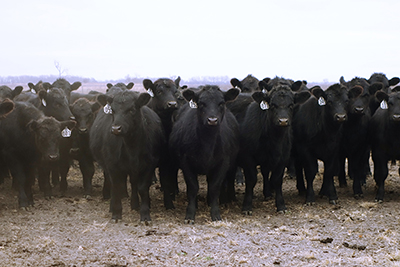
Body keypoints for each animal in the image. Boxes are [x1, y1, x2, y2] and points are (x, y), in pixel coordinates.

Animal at [90, 90, 164, 224]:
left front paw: (145, 214)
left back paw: (135, 204)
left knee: (134, 183)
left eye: (132, 109)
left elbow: (142, 188)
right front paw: (116, 213)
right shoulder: (112, 165)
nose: (116, 129)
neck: (131, 147)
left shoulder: (149, 165)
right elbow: (116, 187)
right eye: (112, 110)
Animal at [170, 86, 241, 224]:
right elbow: (193, 187)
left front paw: (215, 214)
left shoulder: (223, 163)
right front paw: (190, 215)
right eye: (201, 103)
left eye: (221, 103)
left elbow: (214, 187)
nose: (212, 120)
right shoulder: (186, 162)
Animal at [238, 85, 312, 215]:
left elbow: (276, 180)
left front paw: (281, 205)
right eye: (272, 105)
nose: (283, 121)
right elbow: (251, 180)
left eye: (291, 105)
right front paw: (247, 206)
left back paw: (267, 194)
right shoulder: (248, 158)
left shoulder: (282, 158)